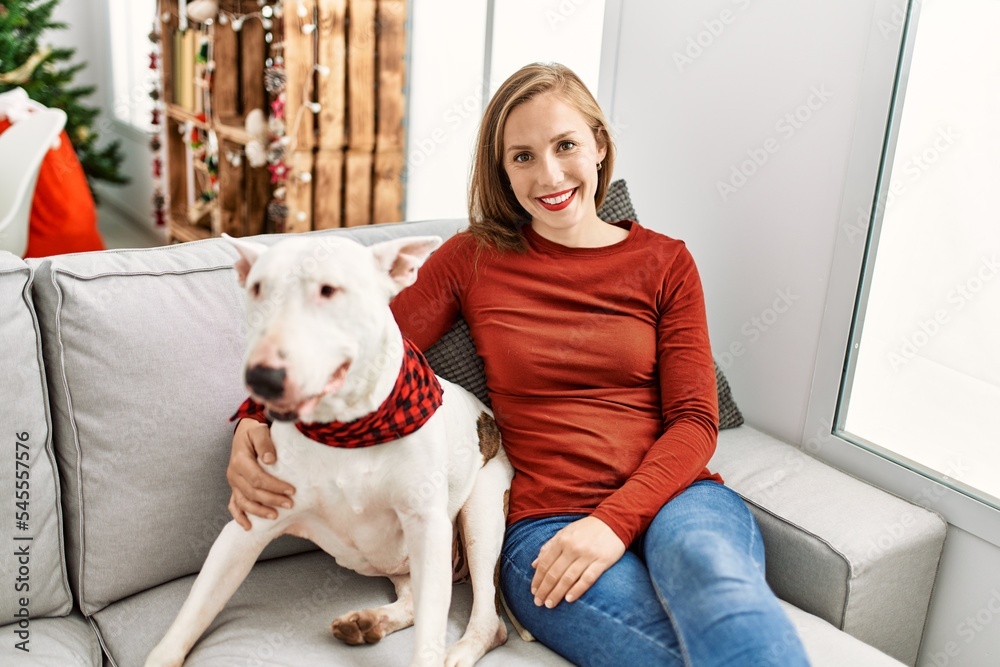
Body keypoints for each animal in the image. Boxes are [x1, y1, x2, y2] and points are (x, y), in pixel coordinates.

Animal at [146, 235, 516, 667]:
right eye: (257, 289)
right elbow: (194, 609)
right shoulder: (249, 524)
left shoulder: (427, 527)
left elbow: (429, 632)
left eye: (328, 290)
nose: (262, 377)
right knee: (413, 598)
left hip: (482, 513)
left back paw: (456, 650)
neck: (349, 429)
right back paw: (367, 622)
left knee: (487, 614)